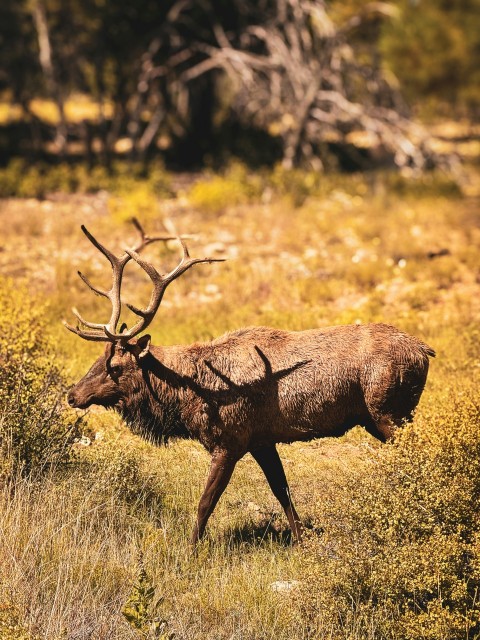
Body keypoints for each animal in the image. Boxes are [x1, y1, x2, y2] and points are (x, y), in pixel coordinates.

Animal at [65, 219, 435, 544]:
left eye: (115, 366)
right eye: (97, 360)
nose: (72, 395)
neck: (190, 397)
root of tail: (425, 350)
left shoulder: (230, 441)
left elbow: (205, 503)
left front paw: (190, 550)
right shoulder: (261, 440)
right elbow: (281, 490)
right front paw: (301, 541)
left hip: (389, 410)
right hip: (378, 417)